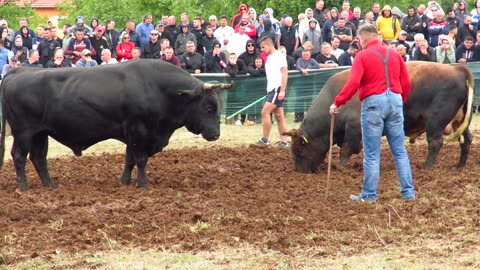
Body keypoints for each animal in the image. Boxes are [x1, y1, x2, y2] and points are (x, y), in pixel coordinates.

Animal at [0, 59, 232, 190]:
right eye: (207, 107)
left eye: (219, 106)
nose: (215, 134)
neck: (158, 88)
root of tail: (21, 70)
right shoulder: (139, 131)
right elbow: (140, 159)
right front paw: (142, 184)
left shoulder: (132, 135)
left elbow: (129, 160)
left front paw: (125, 182)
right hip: (23, 133)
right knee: (19, 156)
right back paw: (24, 187)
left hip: (40, 133)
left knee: (38, 158)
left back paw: (50, 186)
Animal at [284, 60, 474, 173]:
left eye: (298, 150)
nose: (299, 172)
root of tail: (457, 69)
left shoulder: (354, 128)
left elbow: (347, 148)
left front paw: (340, 167)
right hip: (460, 122)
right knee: (466, 140)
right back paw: (460, 165)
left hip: (435, 121)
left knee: (435, 142)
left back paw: (426, 167)